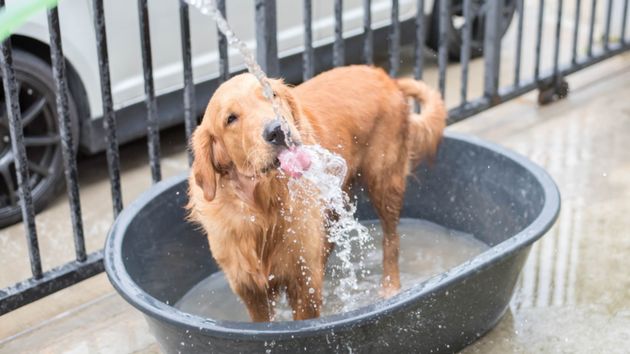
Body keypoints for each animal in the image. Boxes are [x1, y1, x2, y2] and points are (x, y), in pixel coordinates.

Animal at [188, 65, 450, 322]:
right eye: (230, 119)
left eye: (272, 94)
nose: (278, 130)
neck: (263, 208)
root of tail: (383, 74)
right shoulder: (251, 290)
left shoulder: (304, 282)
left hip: (384, 182)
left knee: (391, 240)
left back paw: (390, 288)